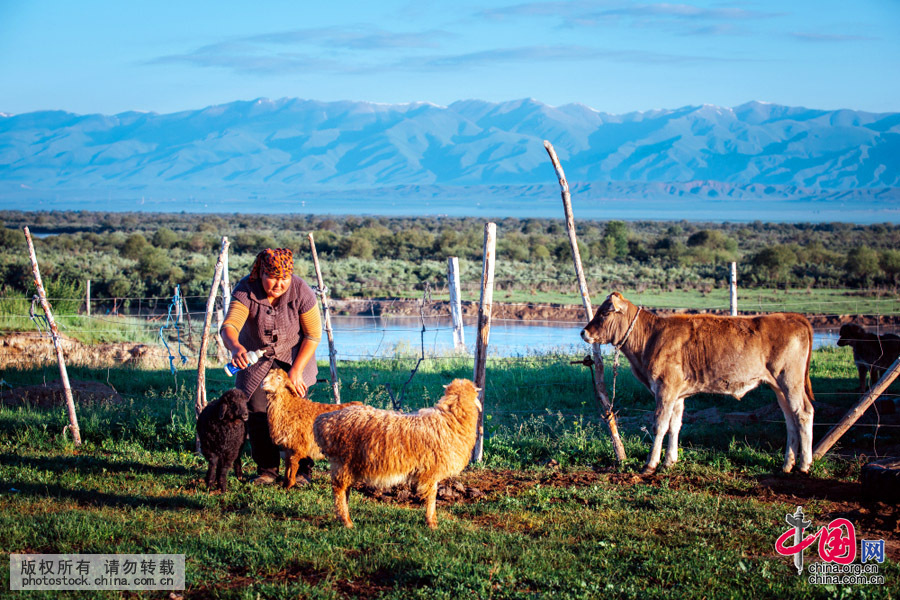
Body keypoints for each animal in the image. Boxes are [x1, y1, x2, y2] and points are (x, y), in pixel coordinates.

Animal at [312, 380, 482, 528]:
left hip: (347, 465)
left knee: (345, 490)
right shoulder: (431, 471)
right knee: (339, 491)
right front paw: (432, 523)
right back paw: (346, 522)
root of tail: (323, 421)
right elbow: (432, 496)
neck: (450, 420)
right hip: (342, 462)